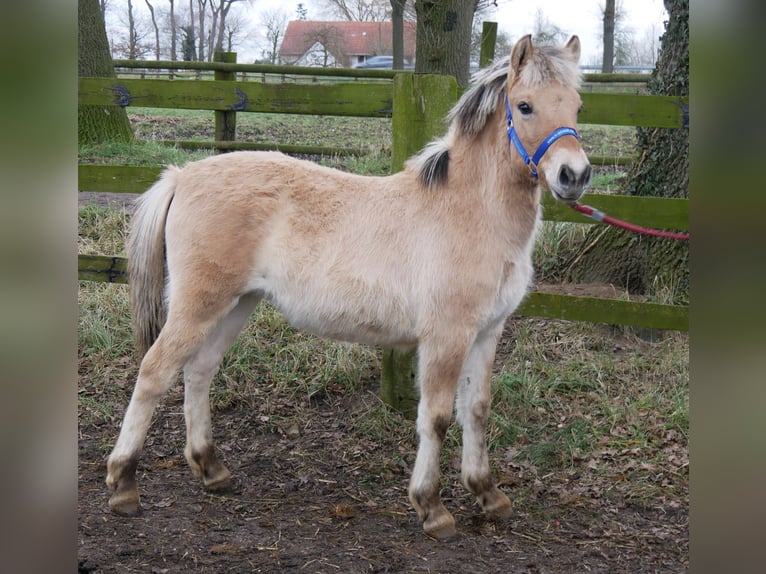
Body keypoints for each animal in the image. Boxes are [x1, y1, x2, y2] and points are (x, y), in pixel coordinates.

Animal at [105, 35, 592, 540]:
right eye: (525, 105)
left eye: (577, 106)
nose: (574, 176)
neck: (470, 212)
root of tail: (182, 175)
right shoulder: (446, 336)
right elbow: (436, 417)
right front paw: (431, 507)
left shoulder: (487, 331)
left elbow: (476, 409)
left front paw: (488, 494)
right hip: (199, 303)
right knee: (154, 372)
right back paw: (123, 484)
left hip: (237, 304)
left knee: (199, 371)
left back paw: (211, 469)